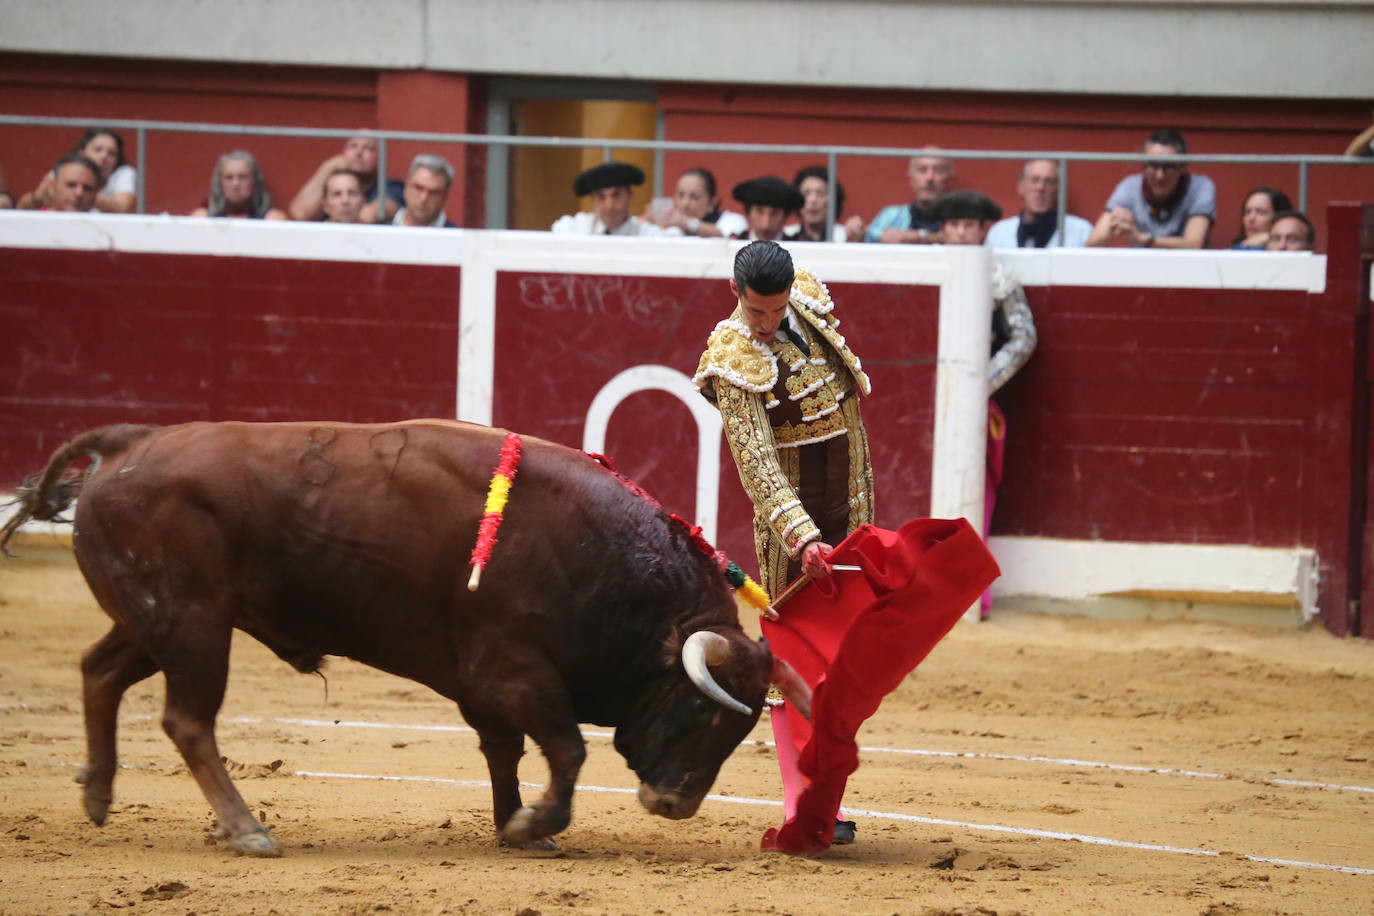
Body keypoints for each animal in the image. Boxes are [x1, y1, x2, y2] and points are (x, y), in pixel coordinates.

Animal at [0, 422, 802, 862]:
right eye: (700, 710)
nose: (675, 804)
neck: (600, 561)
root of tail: (130, 443)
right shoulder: (512, 672)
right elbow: (567, 748)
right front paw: (535, 823)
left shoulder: (486, 687)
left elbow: (508, 753)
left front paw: (519, 826)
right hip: (192, 623)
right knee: (187, 721)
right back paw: (247, 829)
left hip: (157, 621)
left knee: (99, 672)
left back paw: (98, 793)